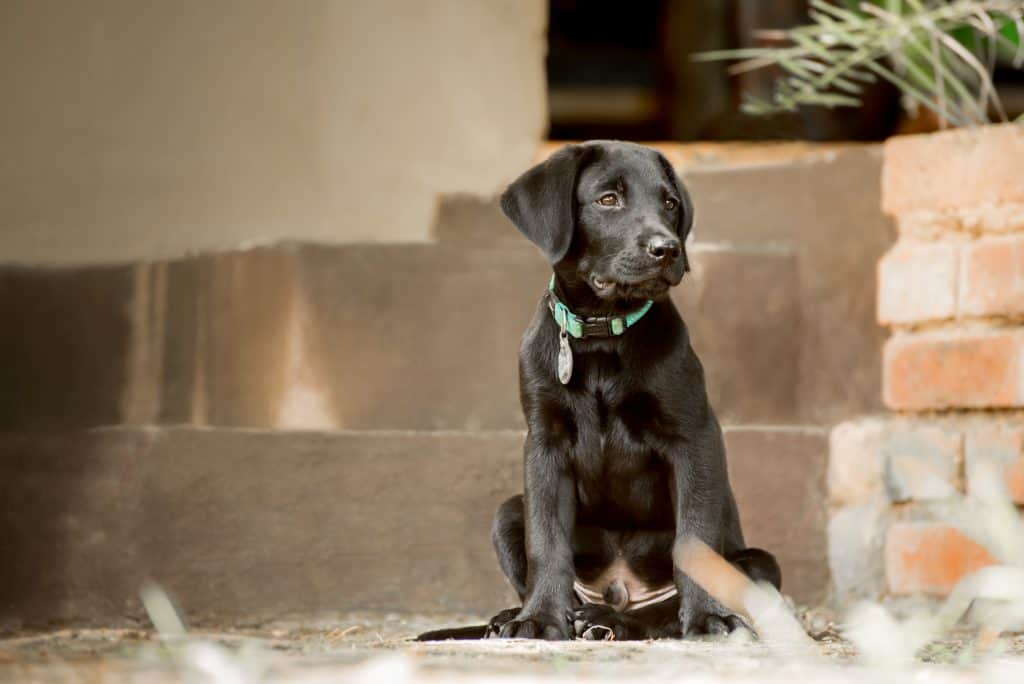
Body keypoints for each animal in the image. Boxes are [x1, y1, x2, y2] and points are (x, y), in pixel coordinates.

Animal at [419, 140, 778, 643]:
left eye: (670, 203)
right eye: (609, 199)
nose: (667, 249)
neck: (603, 333)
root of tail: (620, 589)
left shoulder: (694, 436)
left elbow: (694, 540)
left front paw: (708, 617)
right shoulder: (544, 444)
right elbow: (546, 540)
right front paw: (539, 619)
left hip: (761, 563)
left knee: (662, 614)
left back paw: (613, 621)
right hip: (508, 512)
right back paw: (528, 616)